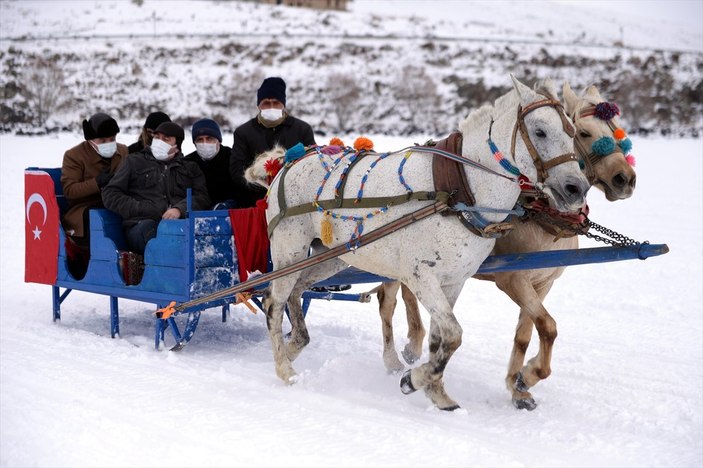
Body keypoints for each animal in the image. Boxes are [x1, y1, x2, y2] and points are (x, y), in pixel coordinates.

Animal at [252, 77, 588, 410]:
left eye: (572, 132)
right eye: (540, 131)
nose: (577, 188)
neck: (459, 189)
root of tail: (288, 161)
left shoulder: (453, 281)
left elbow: (440, 339)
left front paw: (435, 391)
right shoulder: (421, 276)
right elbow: (453, 335)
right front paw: (414, 380)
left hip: (329, 256)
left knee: (297, 291)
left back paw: (295, 345)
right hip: (289, 250)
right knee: (273, 301)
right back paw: (284, 368)